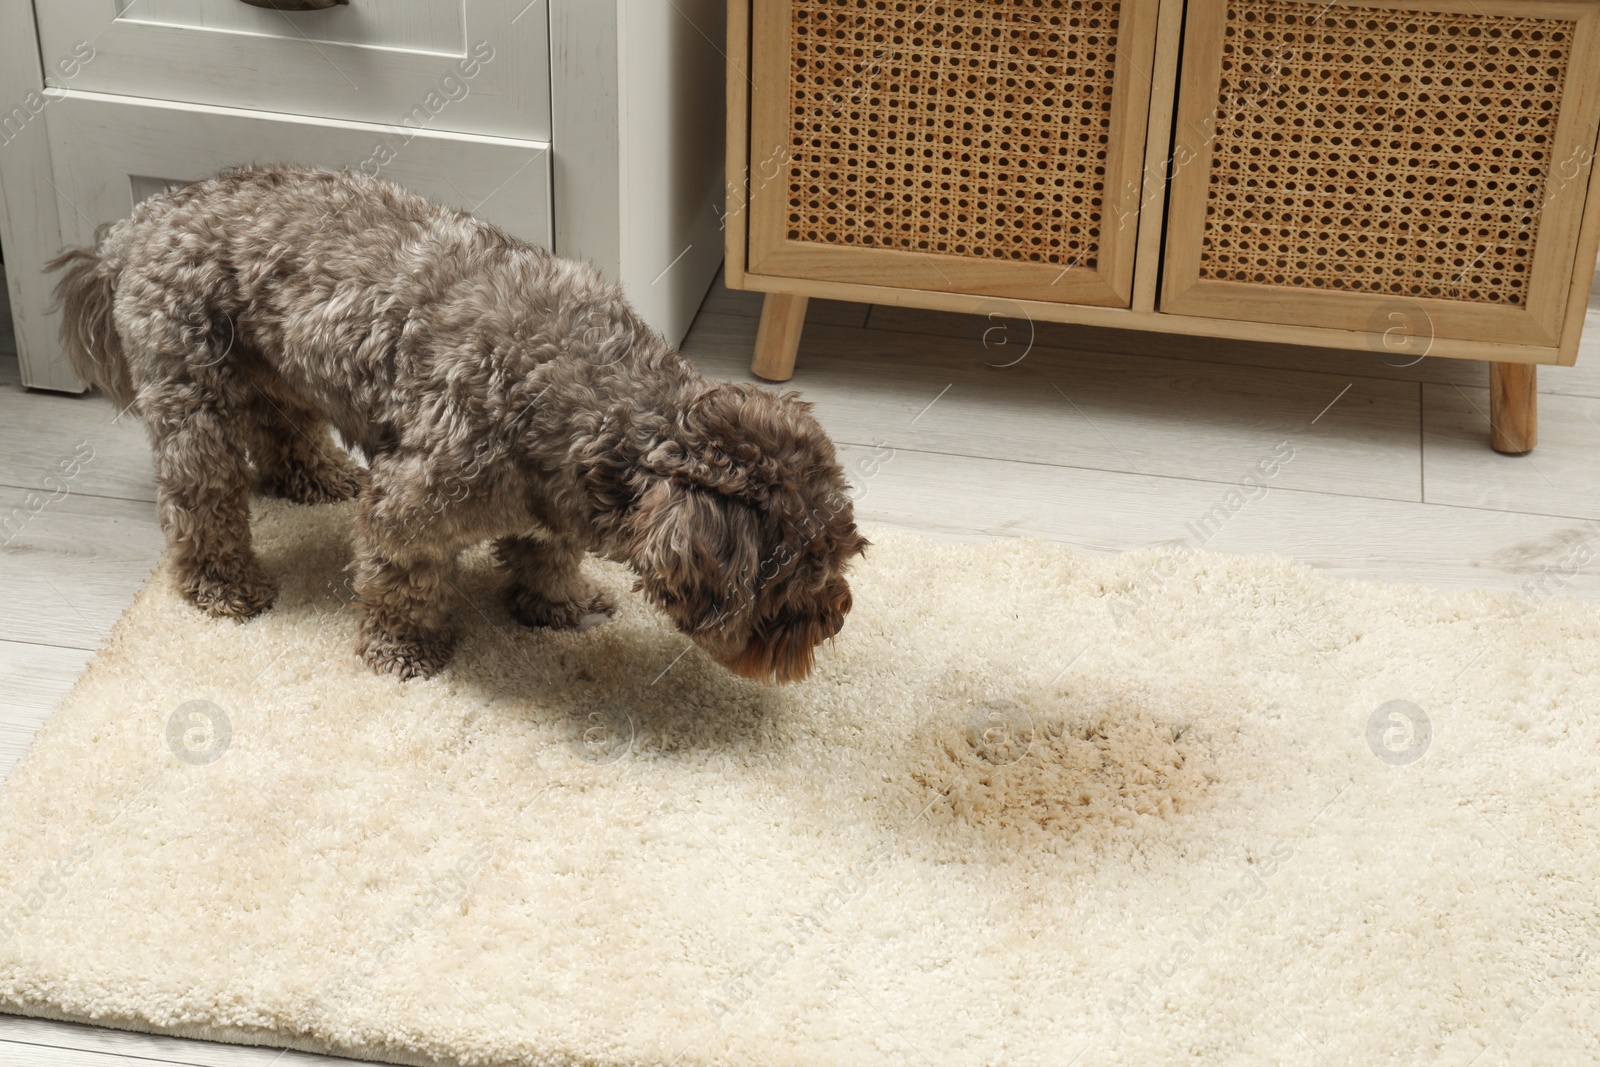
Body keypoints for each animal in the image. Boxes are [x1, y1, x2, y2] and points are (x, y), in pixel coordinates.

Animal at [50, 167, 870, 684]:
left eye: (841, 555)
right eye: (797, 577)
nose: (835, 619)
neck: (598, 404)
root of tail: (135, 224)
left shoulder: (551, 503)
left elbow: (547, 554)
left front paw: (559, 605)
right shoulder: (408, 505)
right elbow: (402, 584)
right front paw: (403, 649)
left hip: (277, 368)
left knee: (281, 428)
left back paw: (316, 474)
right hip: (195, 398)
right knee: (201, 500)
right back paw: (222, 583)